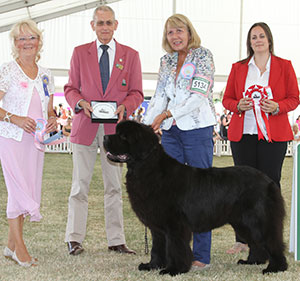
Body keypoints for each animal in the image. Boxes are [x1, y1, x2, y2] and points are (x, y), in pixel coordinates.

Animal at [103, 119, 288, 274]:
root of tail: (268, 180)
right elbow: (157, 248)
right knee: (256, 243)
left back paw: (275, 268)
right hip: (242, 222)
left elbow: (175, 248)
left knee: (272, 242)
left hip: (258, 219)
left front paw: (174, 269)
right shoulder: (158, 226)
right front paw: (152, 266)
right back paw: (252, 261)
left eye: (123, 136)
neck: (147, 168)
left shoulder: (175, 224)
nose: (105, 137)